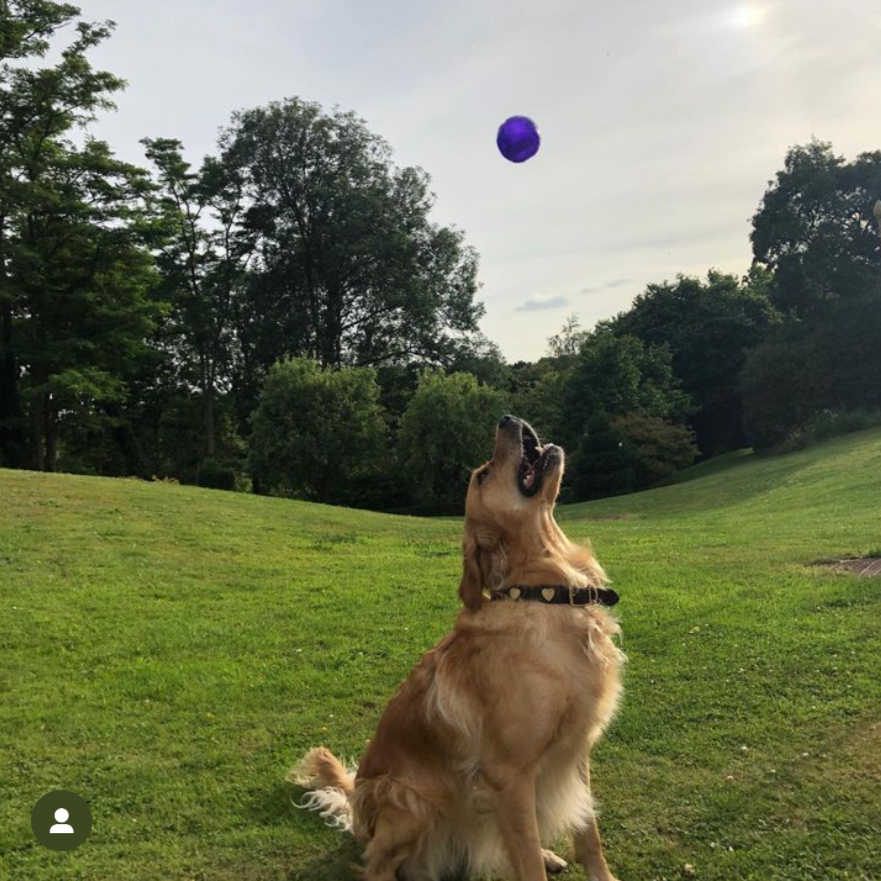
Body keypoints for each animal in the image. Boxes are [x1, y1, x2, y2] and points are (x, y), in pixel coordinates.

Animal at [296, 414, 624, 880]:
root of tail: (359, 815)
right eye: (483, 475)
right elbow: (527, 862)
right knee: (376, 861)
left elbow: (588, 835)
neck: (545, 593)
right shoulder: (507, 774)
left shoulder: (575, 749)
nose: (507, 418)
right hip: (409, 801)